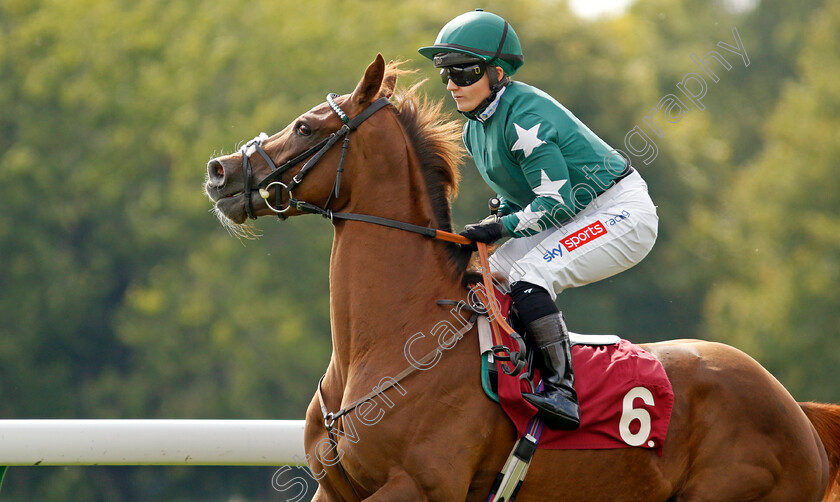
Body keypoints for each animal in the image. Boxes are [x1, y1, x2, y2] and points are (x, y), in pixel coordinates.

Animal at [205, 53, 840, 500]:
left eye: (306, 128)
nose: (219, 171)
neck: (387, 343)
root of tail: (799, 415)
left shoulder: (417, 485)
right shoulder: (336, 490)